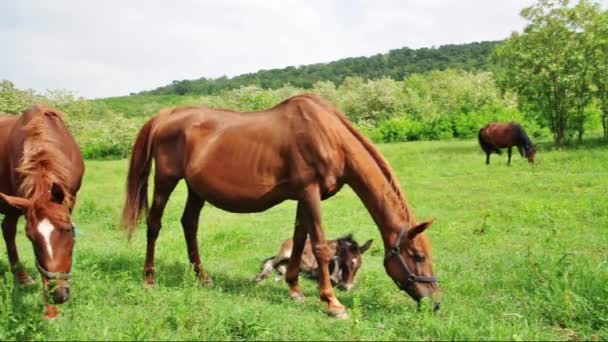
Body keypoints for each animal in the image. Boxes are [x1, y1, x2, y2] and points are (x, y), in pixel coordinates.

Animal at [121, 93, 440, 318]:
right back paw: (149, 279)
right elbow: (320, 245)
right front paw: (332, 303)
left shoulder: (304, 196)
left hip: (195, 188)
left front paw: (295, 289)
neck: (328, 136)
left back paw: (203, 277)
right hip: (166, 180)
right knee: (154, 224)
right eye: (418, 256)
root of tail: (164, 116)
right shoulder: (310, 192)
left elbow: (299, 241)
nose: (435, 302)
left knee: (190, 224)